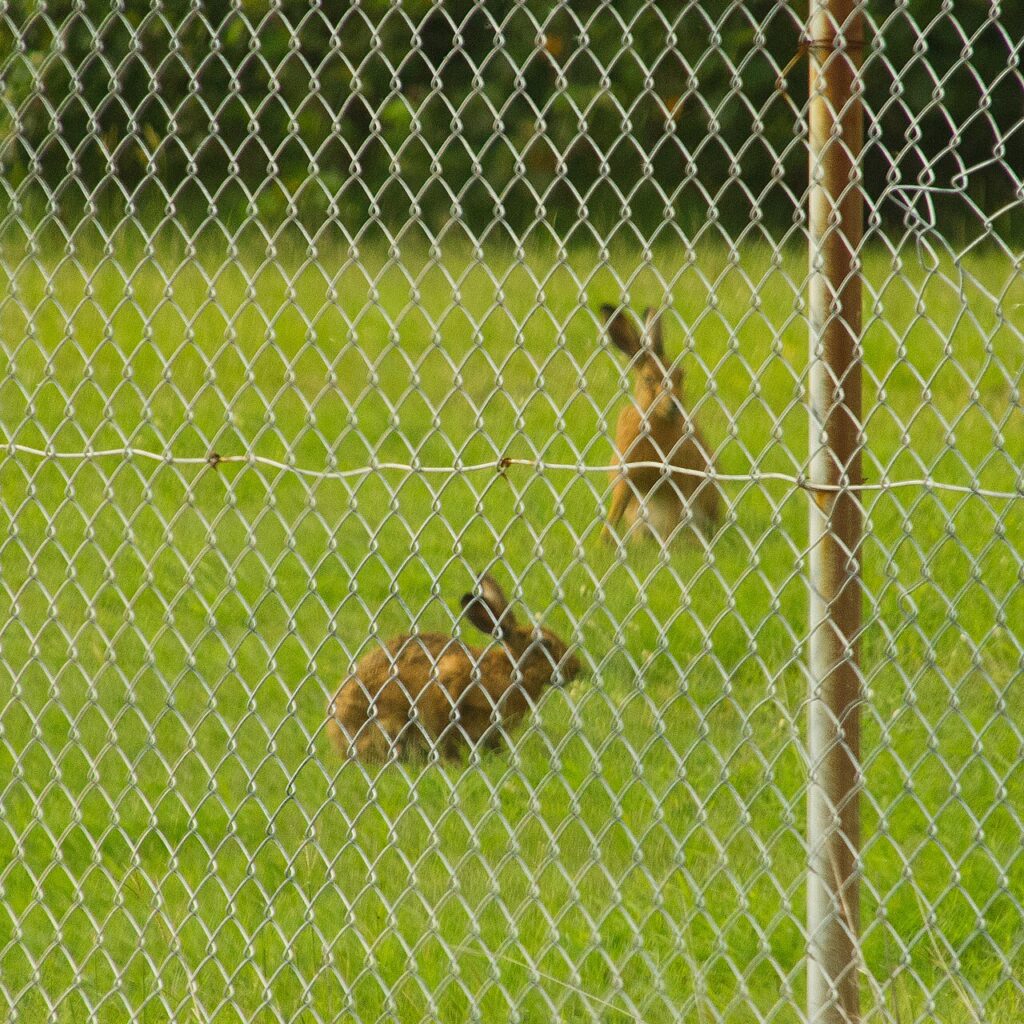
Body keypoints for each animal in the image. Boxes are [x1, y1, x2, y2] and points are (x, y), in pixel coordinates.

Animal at [600, 303, 720, 544]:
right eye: (648, 379)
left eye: (681, 375)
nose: (674, 405)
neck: (654, 422)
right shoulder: (626, 479)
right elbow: (614, 512)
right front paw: (602, 543)